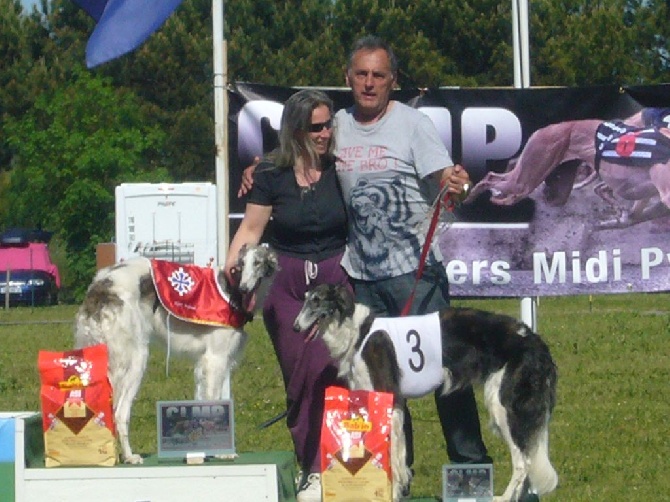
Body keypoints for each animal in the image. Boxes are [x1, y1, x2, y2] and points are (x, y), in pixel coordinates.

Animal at [75, 243, 278, 462]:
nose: (244, 288)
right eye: (241, 264)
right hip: (135, 358)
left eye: (257, 263)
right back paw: (129, 456)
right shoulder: (216, 358)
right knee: (120, 413)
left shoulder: (210, 363)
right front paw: (222, 452)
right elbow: (214, 401)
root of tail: (100, 287)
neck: (230, 291)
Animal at [294, 284, 560, 502]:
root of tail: (535, 340)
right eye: (305, 299)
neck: (359, 333)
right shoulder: (390, 403)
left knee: (523, 462)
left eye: (317, 300)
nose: (295, 327)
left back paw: (504, 497)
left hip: (503, 406)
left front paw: (390, 492)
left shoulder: (387, 399)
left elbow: (391, 456)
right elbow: (398, 457)